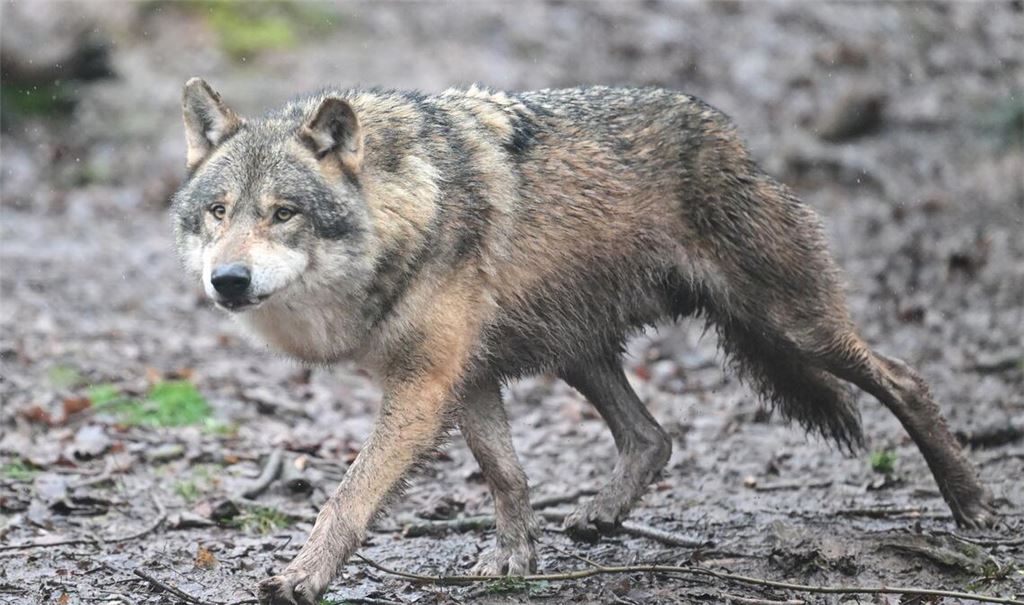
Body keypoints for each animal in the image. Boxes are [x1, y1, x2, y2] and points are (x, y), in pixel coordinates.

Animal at [171, 78, 996, 604]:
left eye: (283, 213)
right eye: (218, 210)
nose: (228, 280)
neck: (405, 209)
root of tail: (732, 136)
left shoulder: (425, 384)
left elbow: (347, 496)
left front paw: (302, 576)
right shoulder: (467, 377)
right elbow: (507, 474)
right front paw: (514, 558)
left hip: (791, 326)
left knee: (905, 377)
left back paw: (971, 504)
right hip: (579, 351)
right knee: (653, 435)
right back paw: (601, 514)